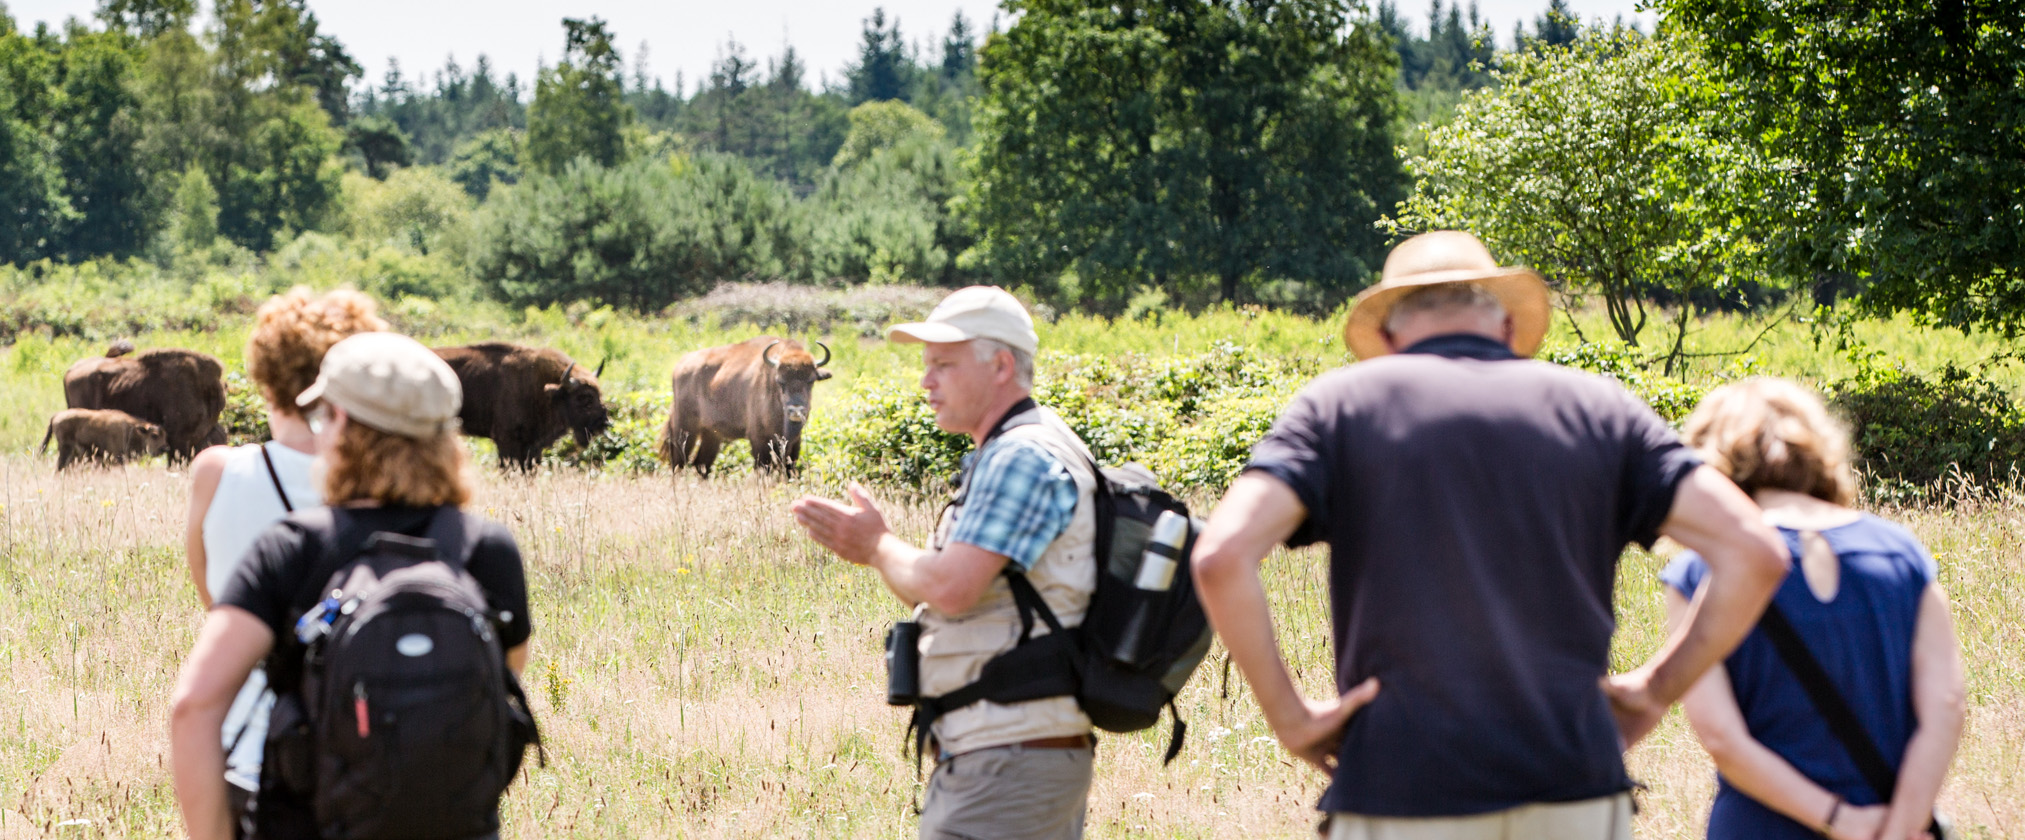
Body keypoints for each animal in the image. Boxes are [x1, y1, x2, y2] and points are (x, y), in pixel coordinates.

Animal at [656, 338, 830, 479]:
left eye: (811, 381)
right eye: (780, 381)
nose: (795, 410)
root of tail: (680, 367)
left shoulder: (794, 442)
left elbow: (789, 468)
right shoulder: (758, 438)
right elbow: (763, 468)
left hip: (711, 434)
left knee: (701, 464)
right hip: (685, 428)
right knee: (679, 461)